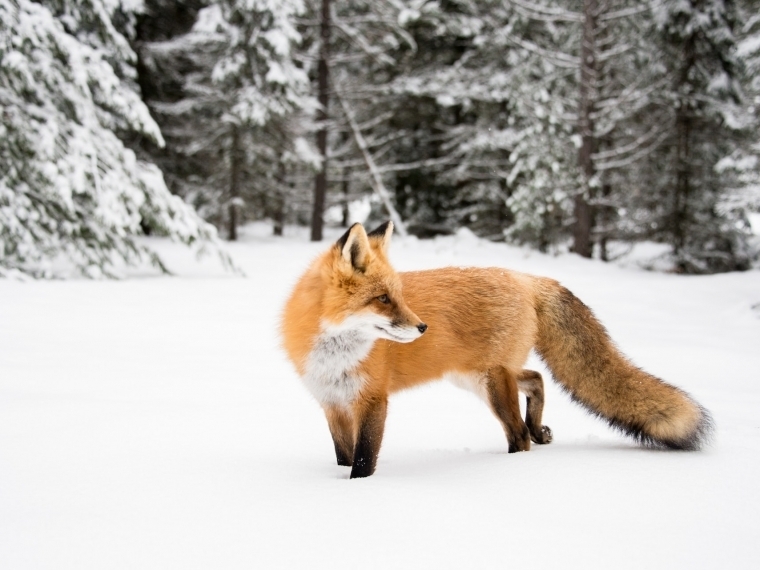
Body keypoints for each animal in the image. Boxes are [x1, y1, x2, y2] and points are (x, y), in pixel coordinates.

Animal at [280, 220, 712, 478]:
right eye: (383, 299)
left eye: (398, 296)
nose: (422, 327)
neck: (335, 355)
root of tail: (525, 277)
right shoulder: (332, 403)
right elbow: (343, 455)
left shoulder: (372, 400)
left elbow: (363, 459)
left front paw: (357, 491)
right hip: (476, 377)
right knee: (536, 379)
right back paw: (539, 429)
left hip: (490, 383)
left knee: (518, 434)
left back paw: (510, 464)